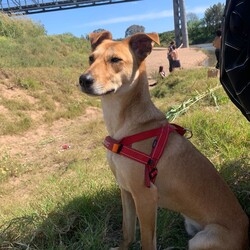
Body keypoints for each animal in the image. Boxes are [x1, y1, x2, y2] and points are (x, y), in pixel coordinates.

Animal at [78, 31, 248, 250]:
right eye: (91, 58)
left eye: (115, 60)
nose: (83, 79)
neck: (125, 125)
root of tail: (247, 237)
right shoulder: (126, 191)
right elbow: (127, 231)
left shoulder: (146, 197)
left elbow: (146, 242)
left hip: (202, 239)